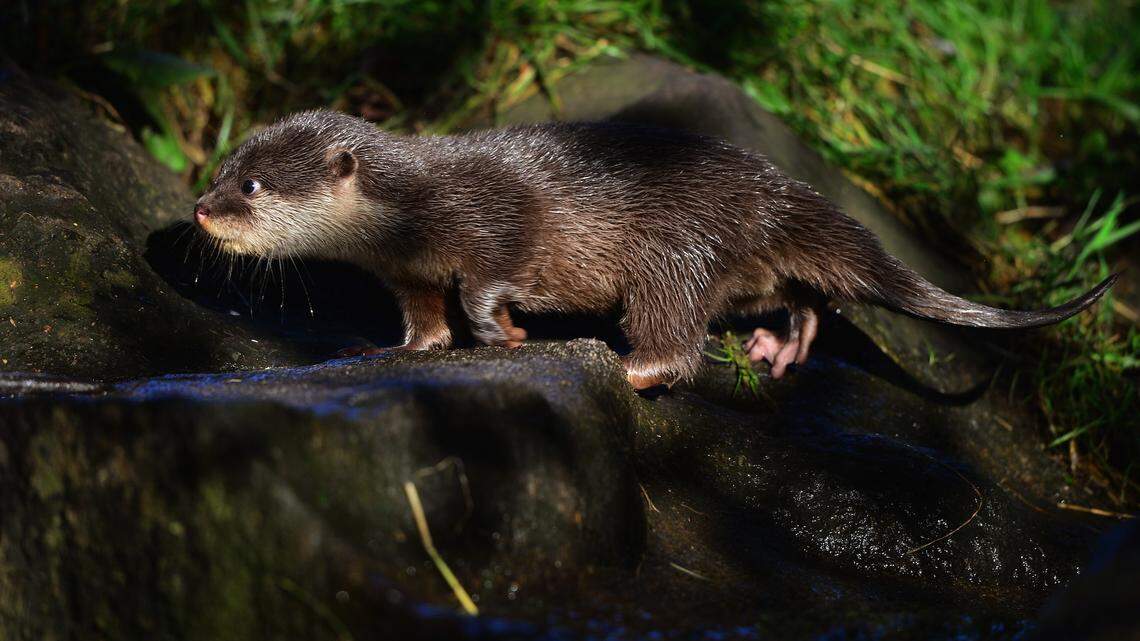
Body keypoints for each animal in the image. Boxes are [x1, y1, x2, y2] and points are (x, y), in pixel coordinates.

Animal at [193, 110, 1116, 389]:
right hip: (747, 268)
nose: (201, 208)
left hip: (675, 252)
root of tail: (772, 190)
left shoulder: (495, 220)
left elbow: (489, 285)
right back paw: (781, 347)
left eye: (253, 187)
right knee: (808, 294)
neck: (418, 207)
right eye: (223, 166)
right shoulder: (408, 270)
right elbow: (427, 324)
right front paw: (385, 351)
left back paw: (630, 361)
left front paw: (508, 335)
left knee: (681, 339)